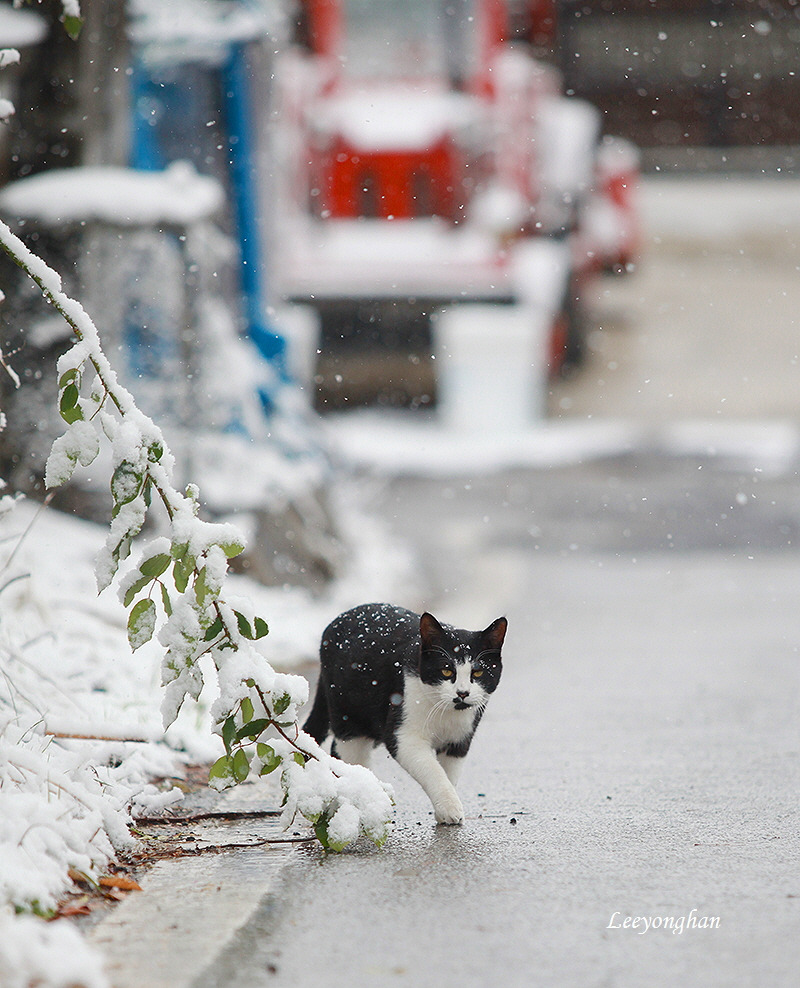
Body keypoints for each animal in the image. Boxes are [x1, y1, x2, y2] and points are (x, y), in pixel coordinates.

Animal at [302, 604, 506, 824]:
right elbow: (433, 771)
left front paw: (444, 810)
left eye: (477, 673)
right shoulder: (404, 736)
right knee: (346, 751)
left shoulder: (459, 740)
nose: (462, 693)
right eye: (446, 671)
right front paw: (450, 808)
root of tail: (335, 622)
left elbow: (448, 773)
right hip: (347, 715)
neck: (444, 714)